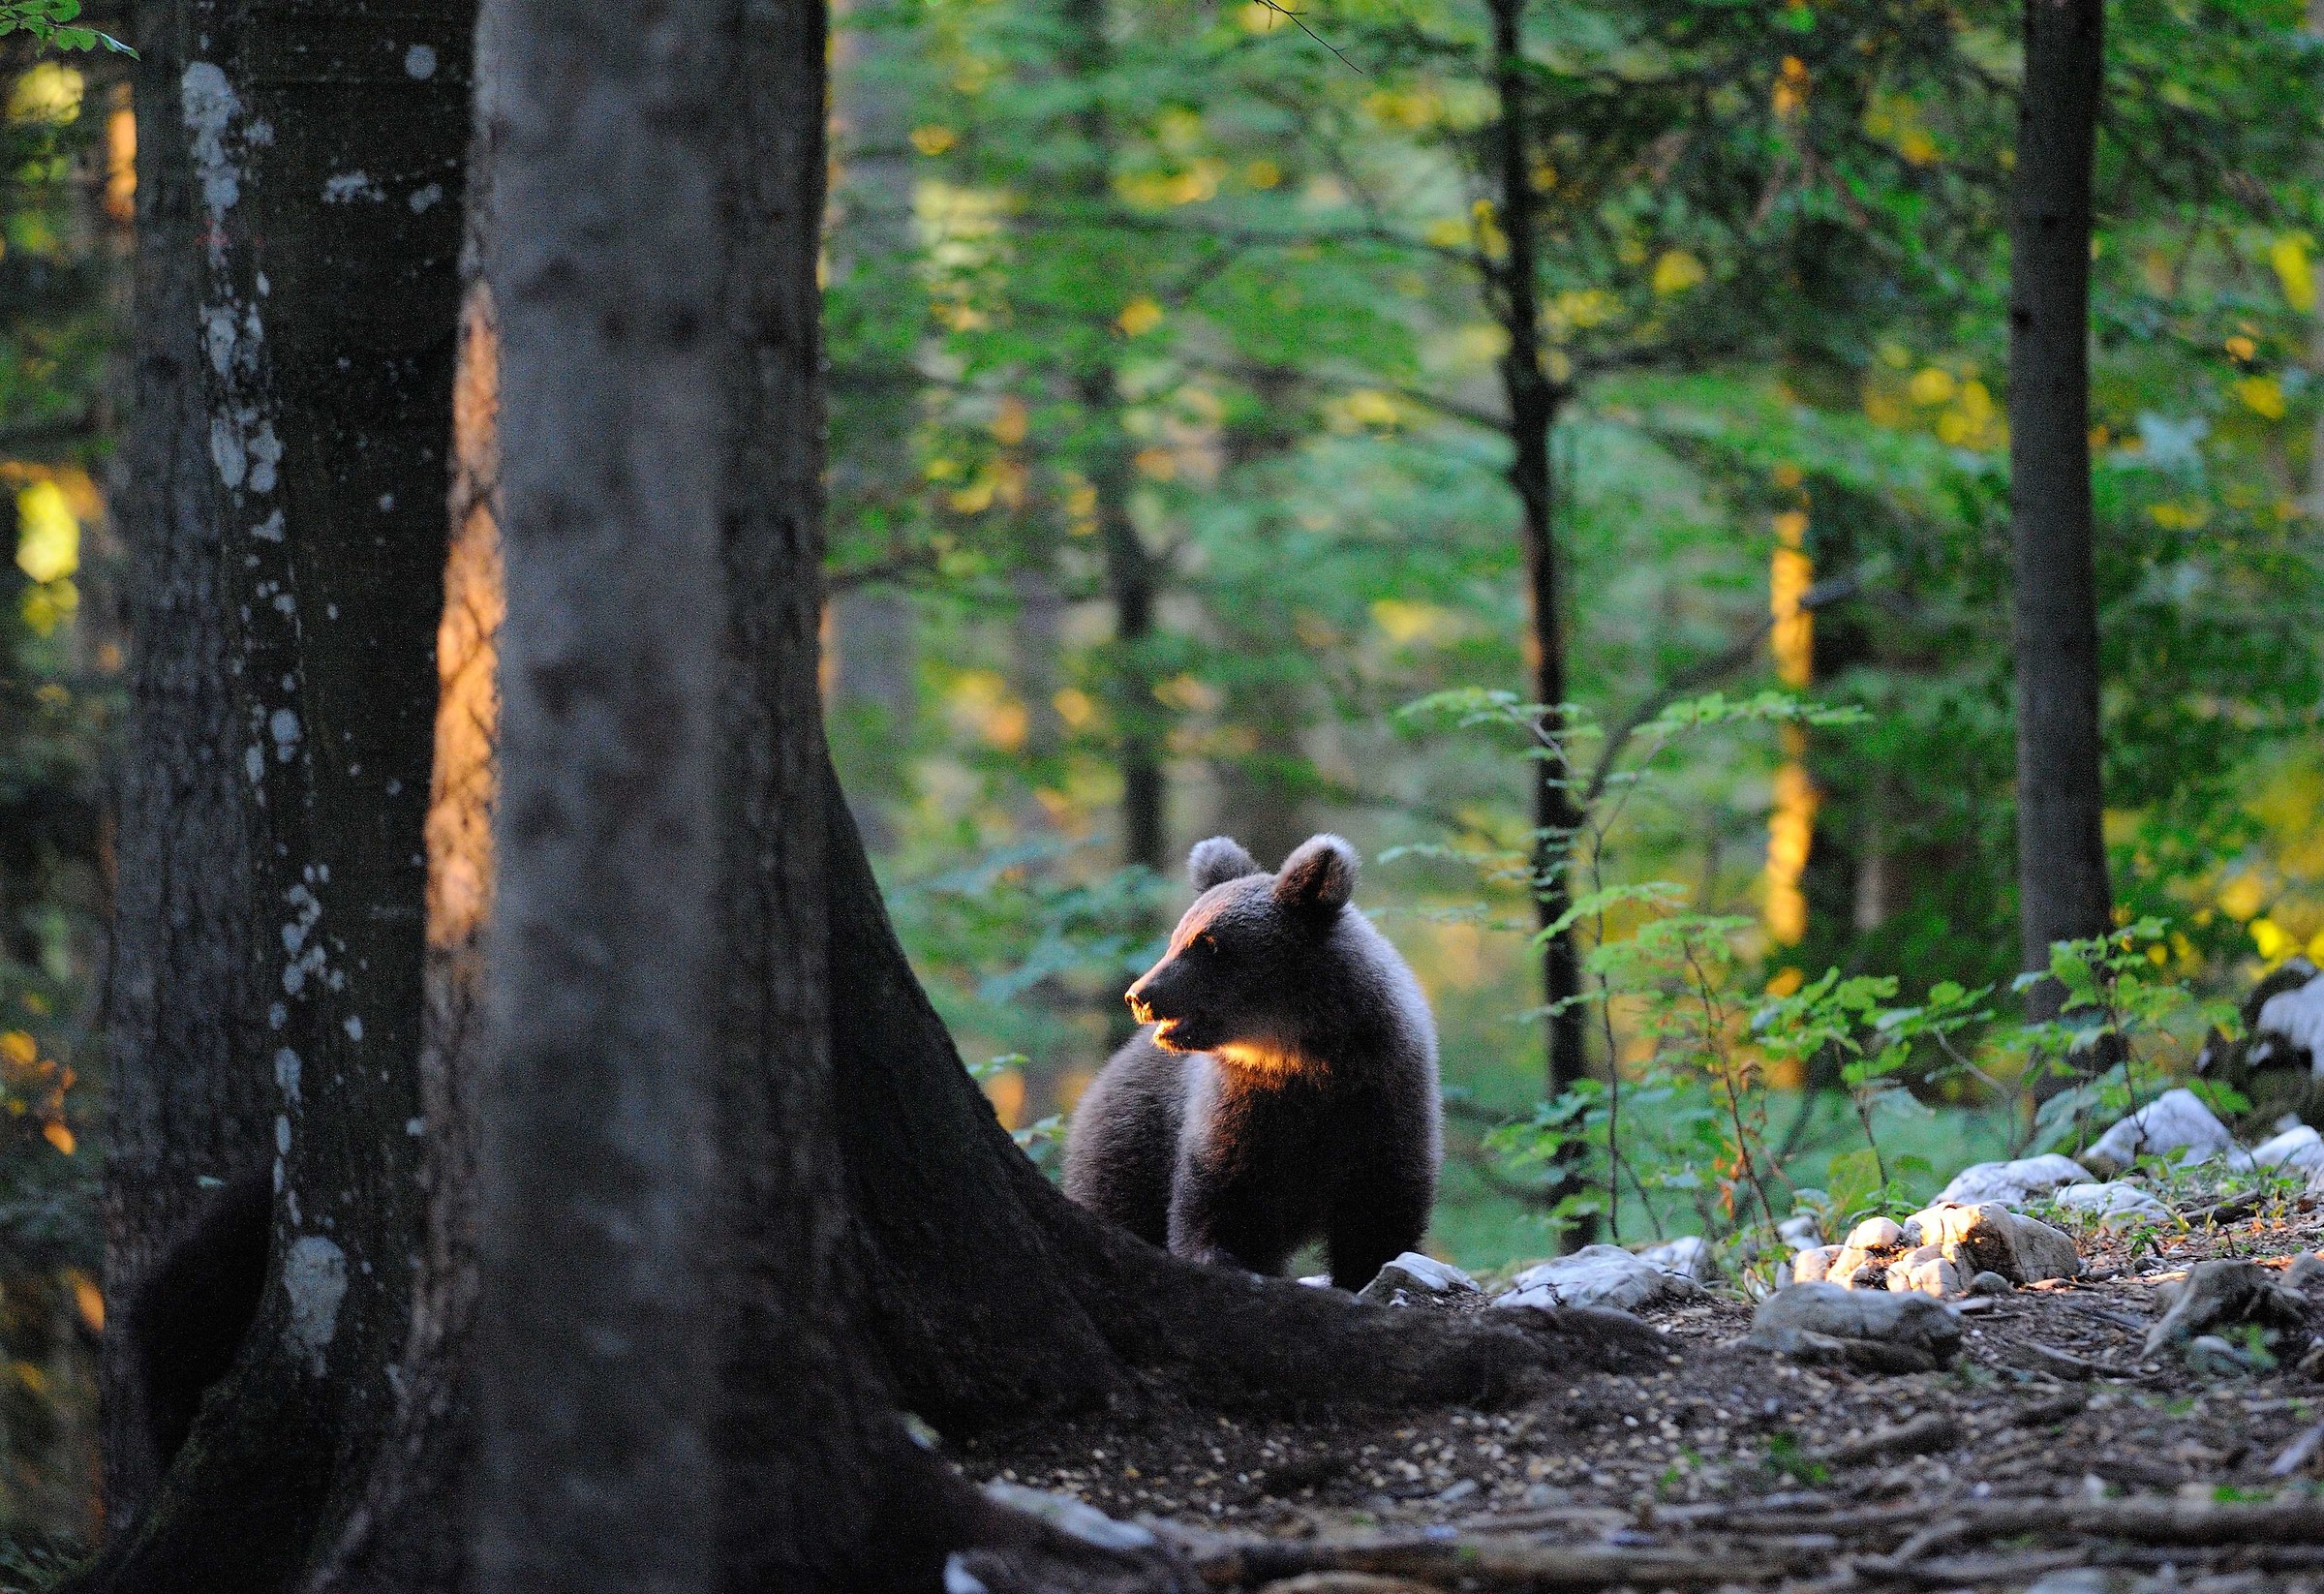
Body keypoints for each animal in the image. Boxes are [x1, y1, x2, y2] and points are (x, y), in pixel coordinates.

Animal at [1062, 832, 1441, 1291]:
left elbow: (1379, 1219)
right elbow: (1218, 1208)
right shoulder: (1236, 1113)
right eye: (1177, 937)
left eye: (1208, 943)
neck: (1303, 1057)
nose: (1140, 995)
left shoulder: (1384, 1106)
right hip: (1127, 1145)